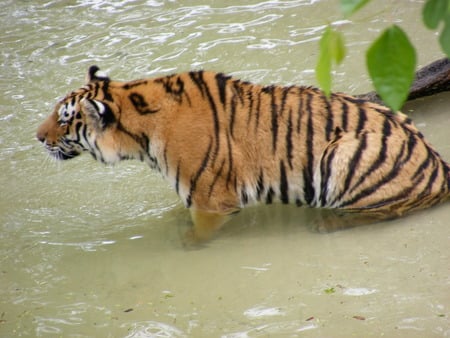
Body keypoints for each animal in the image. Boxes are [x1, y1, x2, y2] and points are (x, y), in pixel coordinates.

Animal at [37, 65, 450, 240]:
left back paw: (324, 224)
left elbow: (201, 231)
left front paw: (187, 242)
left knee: (377, 213)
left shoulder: (212, 200)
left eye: (64, 119)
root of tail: (439, 168)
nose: (38, 137)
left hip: (345, 155)